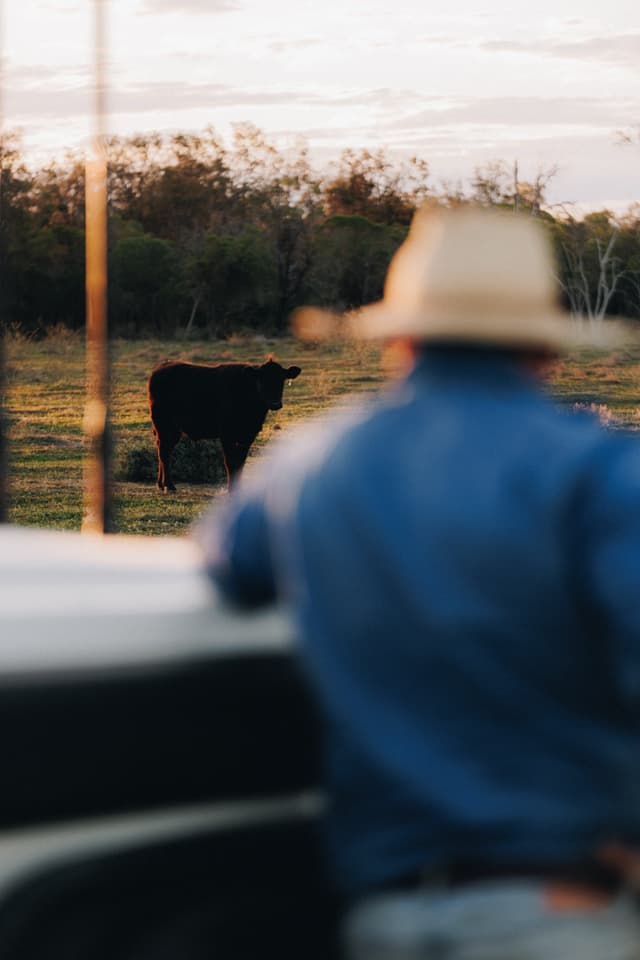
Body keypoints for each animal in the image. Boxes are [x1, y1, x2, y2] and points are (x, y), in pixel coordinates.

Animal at [148, 355, 302, 491]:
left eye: (282, 380)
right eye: (262, 380)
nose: (275, 403)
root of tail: (161, 368)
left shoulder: (249, 435)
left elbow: (241, 462)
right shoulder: (227, 434)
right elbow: (230, 462)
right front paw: (230, 489)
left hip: (172, 430)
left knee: (164, 449)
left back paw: (161, 484)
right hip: (163, 424)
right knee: (164, 452)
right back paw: (169, 485)